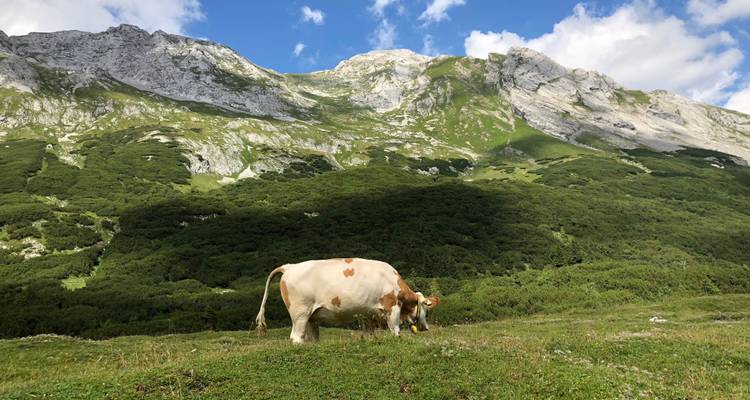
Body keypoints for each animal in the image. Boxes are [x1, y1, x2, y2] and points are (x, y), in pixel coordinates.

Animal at [254, 258, 440, 343]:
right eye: (426, 308)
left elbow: (369, 333)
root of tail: (289, 267)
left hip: (311, 316)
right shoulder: (391, 307)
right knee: (296, 337)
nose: (426, 328)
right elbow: (395, 329)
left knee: (312, 337)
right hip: (300, 313)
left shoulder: (367, 314)